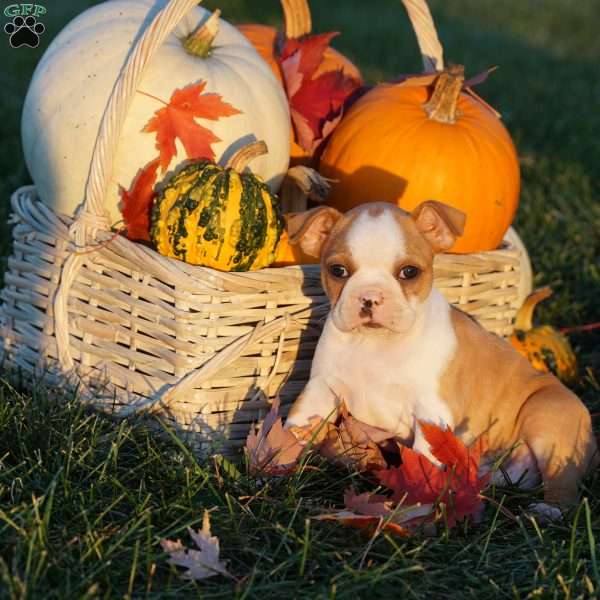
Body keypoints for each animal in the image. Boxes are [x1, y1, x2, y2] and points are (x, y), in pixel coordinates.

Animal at [284, 200, 596, 506]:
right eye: (338, 270)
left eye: (409, 272)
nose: (370, 297)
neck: (376, 343)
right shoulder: (321, 390)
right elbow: (294, 426)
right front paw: (276, 462)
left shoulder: (431, 413)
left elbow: (423, 457)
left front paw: (416, 499)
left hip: (548, 423)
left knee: (562, 482)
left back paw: (548, 510)